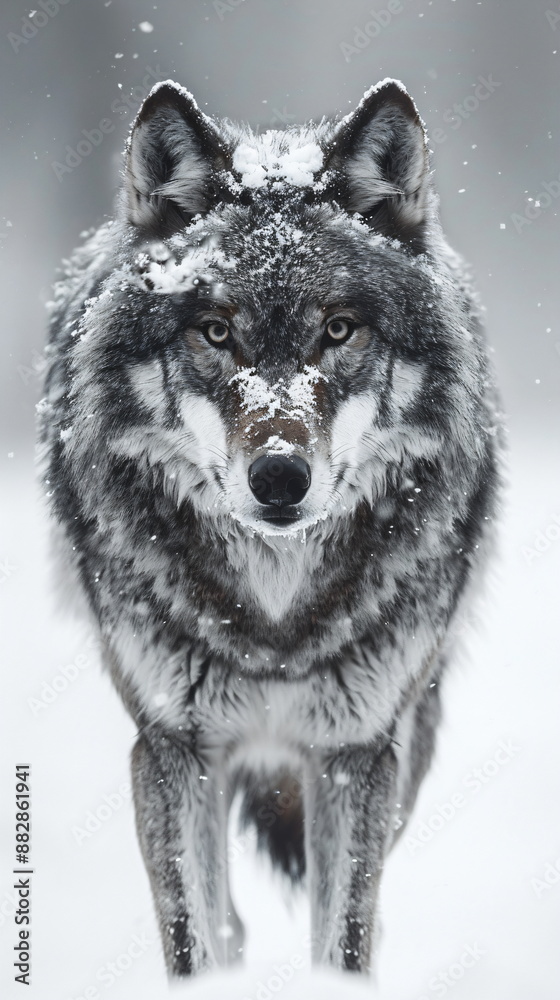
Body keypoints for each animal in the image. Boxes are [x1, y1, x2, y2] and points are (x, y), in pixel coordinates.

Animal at [38, 77, 502, 979]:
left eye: (338, 329)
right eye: (217, 332)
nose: (280, 478)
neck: (276, 616)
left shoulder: (357, 752)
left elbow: (345, 937)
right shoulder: (172, 746)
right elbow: (195, 935)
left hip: (409, 740)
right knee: (230, 923)